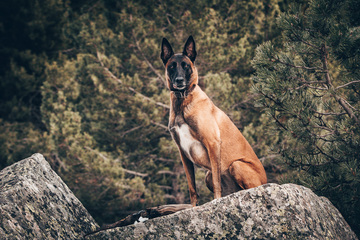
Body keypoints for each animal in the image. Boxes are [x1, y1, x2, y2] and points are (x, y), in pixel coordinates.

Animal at [161, 35, 268, 206]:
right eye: (172, 66)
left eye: (186, 66)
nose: (179, 80)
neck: (183, 101)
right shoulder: (183, 154)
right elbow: (192, 188)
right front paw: (193, 207)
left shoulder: (212, 143)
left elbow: (218, 183)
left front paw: (216, 201)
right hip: (208, 175)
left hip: (236, 165)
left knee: (252, 190)